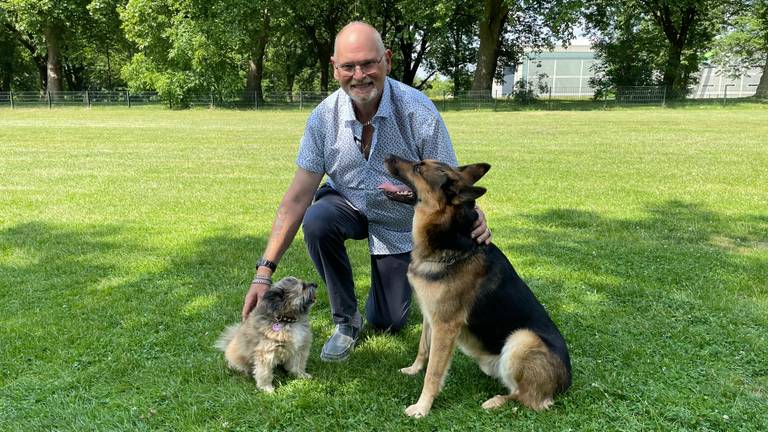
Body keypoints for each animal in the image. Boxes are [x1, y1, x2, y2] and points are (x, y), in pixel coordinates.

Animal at [384, 154, 568, 416]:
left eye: (418, 168)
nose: (387, 156)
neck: (450, 241)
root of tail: (566, 381)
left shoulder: (445, 327)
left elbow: (433, 373)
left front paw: (422, 407)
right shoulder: (430, 316)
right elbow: (423, 348)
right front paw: (413, 369)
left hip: (521, 339)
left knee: (529, 399)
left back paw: (496, 401)